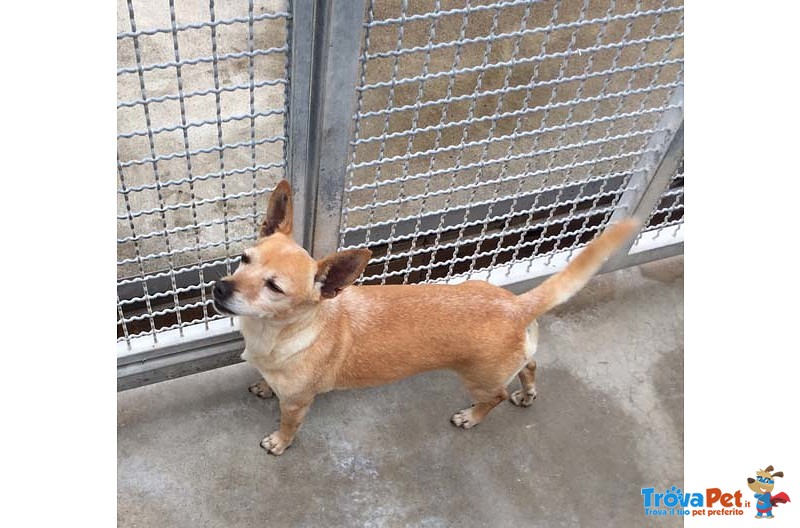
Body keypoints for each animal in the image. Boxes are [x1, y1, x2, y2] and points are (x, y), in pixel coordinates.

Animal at [211, 180, 636, 454]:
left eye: (274, 287)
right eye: (244, 259)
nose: (218, 288)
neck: (275, 334)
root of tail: (517, 305)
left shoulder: (298, 404)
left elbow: (288, 424)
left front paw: (279, 442)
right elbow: (268, 383)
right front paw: (265, 385)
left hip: (479, 380)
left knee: (496, 395)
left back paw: (472, 417)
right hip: (514, 355)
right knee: (529, 366)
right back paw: (527, 392)